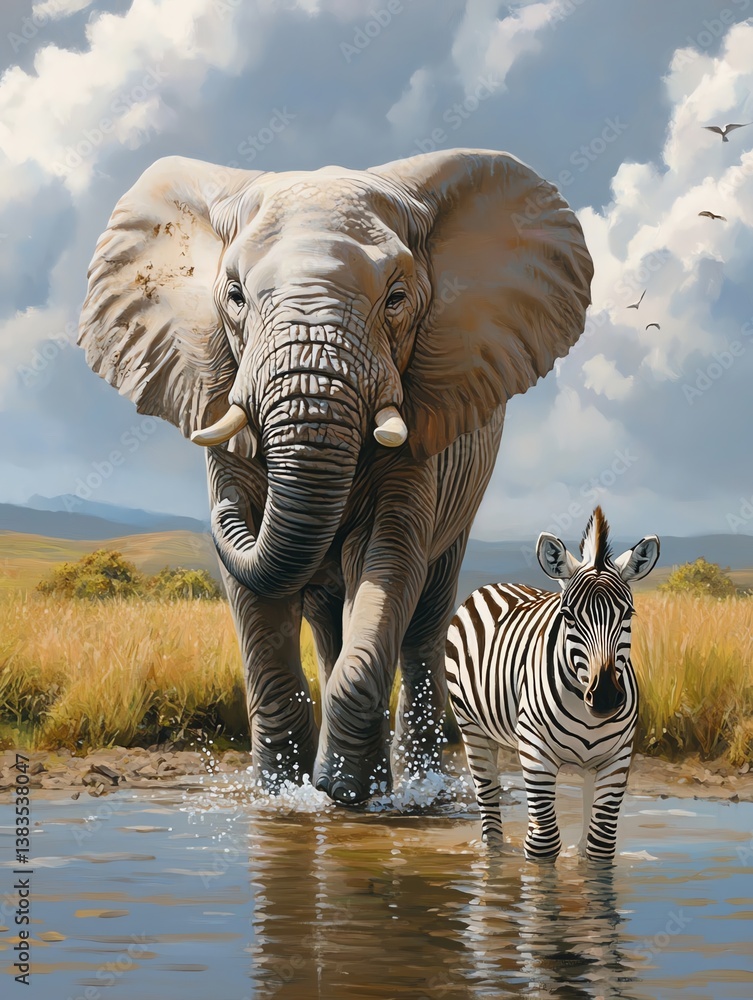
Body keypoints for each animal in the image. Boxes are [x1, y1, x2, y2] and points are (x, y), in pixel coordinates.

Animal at [78, 148, 593, 804]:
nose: (219, 512)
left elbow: (387, 555)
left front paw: (349, 794)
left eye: (396, 298)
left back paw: (419, 785)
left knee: (424, 616)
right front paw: (285, 796)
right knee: (326, 620)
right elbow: (253, 593)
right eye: (234, 295)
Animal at [446, 507, 659, 863]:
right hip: (470, 725)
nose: (604, 697)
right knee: (488, 803)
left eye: (628, 614)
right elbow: (543, 842)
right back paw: (494, 857)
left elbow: (601, 845)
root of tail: (494, 585)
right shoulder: (534, 750)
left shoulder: (618, 757)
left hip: (589, 764)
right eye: (568, 616)